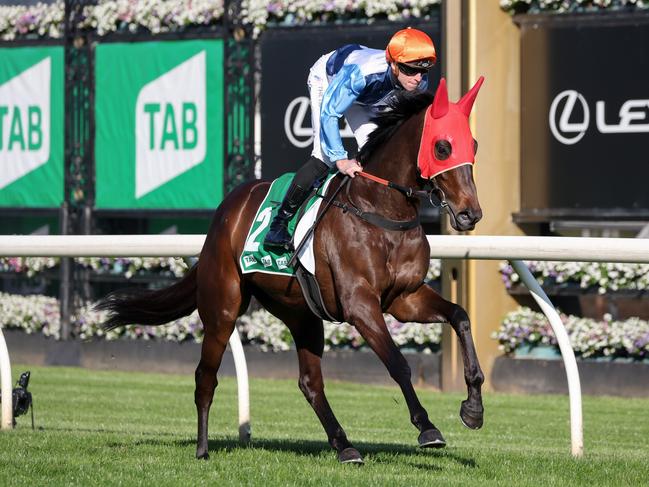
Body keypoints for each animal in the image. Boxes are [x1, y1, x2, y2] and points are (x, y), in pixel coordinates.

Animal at [97, 76, 486, 466]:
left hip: (301, 313)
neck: (380, 210)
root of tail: (225, 211)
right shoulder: (360, 304)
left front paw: (473, 408)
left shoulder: (405, 298)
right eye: (442, 147)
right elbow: (397, 362)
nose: (470, 214)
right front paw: (427, 427)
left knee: (310, 382)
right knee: (205, 377)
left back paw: (345, 446)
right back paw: (203, 449)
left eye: (474, 145)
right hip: (222, 307)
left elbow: (461, 316)